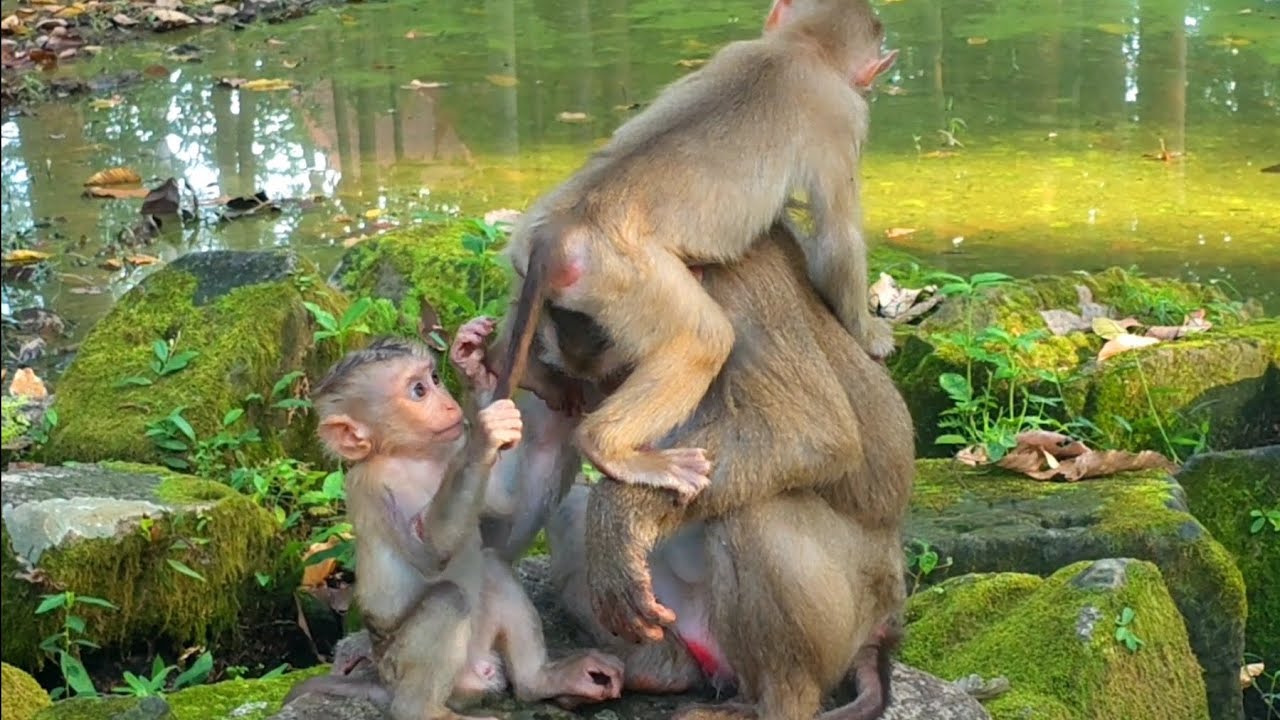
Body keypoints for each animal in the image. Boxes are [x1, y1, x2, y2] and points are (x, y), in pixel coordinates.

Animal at [281, 337, 624, 720]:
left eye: (434, 379)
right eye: (418, 391)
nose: (448, 403)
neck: (413, 456)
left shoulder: (450, 449)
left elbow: (503, 501)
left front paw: (474, 369)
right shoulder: (375, 484)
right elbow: (430, 551)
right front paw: (484, 438)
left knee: (491, 565)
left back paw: (541, 681)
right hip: (400, 663)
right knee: (448, 599)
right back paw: (423, 709)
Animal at [491, 217, 915, 720]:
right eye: (607, 380)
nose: (601, 395)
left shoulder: (741, 297)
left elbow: (811, 430)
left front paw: (620, 510)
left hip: (848, 614)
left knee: (757, 514)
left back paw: (773, 702)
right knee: (574, 510)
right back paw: (658, 670)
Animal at [493, 0, 900, 505]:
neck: (800, 47)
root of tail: (565, 229)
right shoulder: (844, 116)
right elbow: (837, 238)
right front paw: (869, 333)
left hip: (537, 240)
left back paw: (511, 363)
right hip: (630, 277)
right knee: (702, 340)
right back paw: (609, 447)